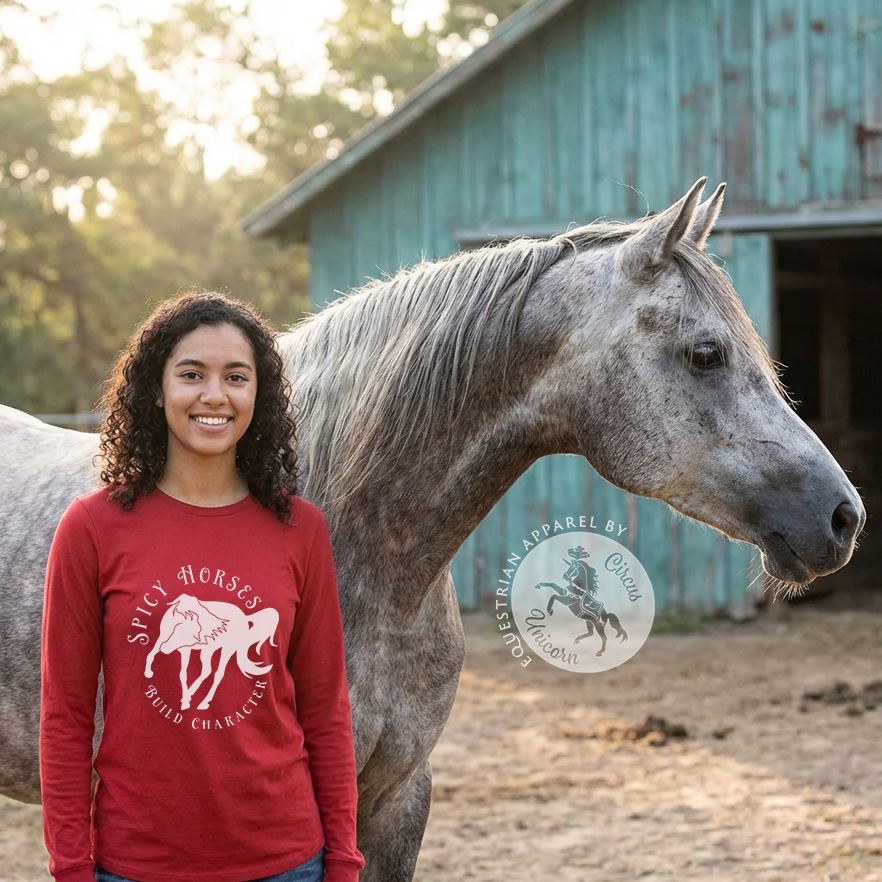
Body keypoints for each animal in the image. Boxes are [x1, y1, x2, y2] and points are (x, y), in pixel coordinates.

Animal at [144, 594, 279, 711]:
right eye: (178, 628)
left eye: (193, 635)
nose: (165, 647)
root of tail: (245, 617)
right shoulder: (169, 641)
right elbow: (159, 658)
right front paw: (148, 672)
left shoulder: (194, 647)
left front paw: (186, 700)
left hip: (225, 648)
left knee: (215, 672)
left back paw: (201, 701)